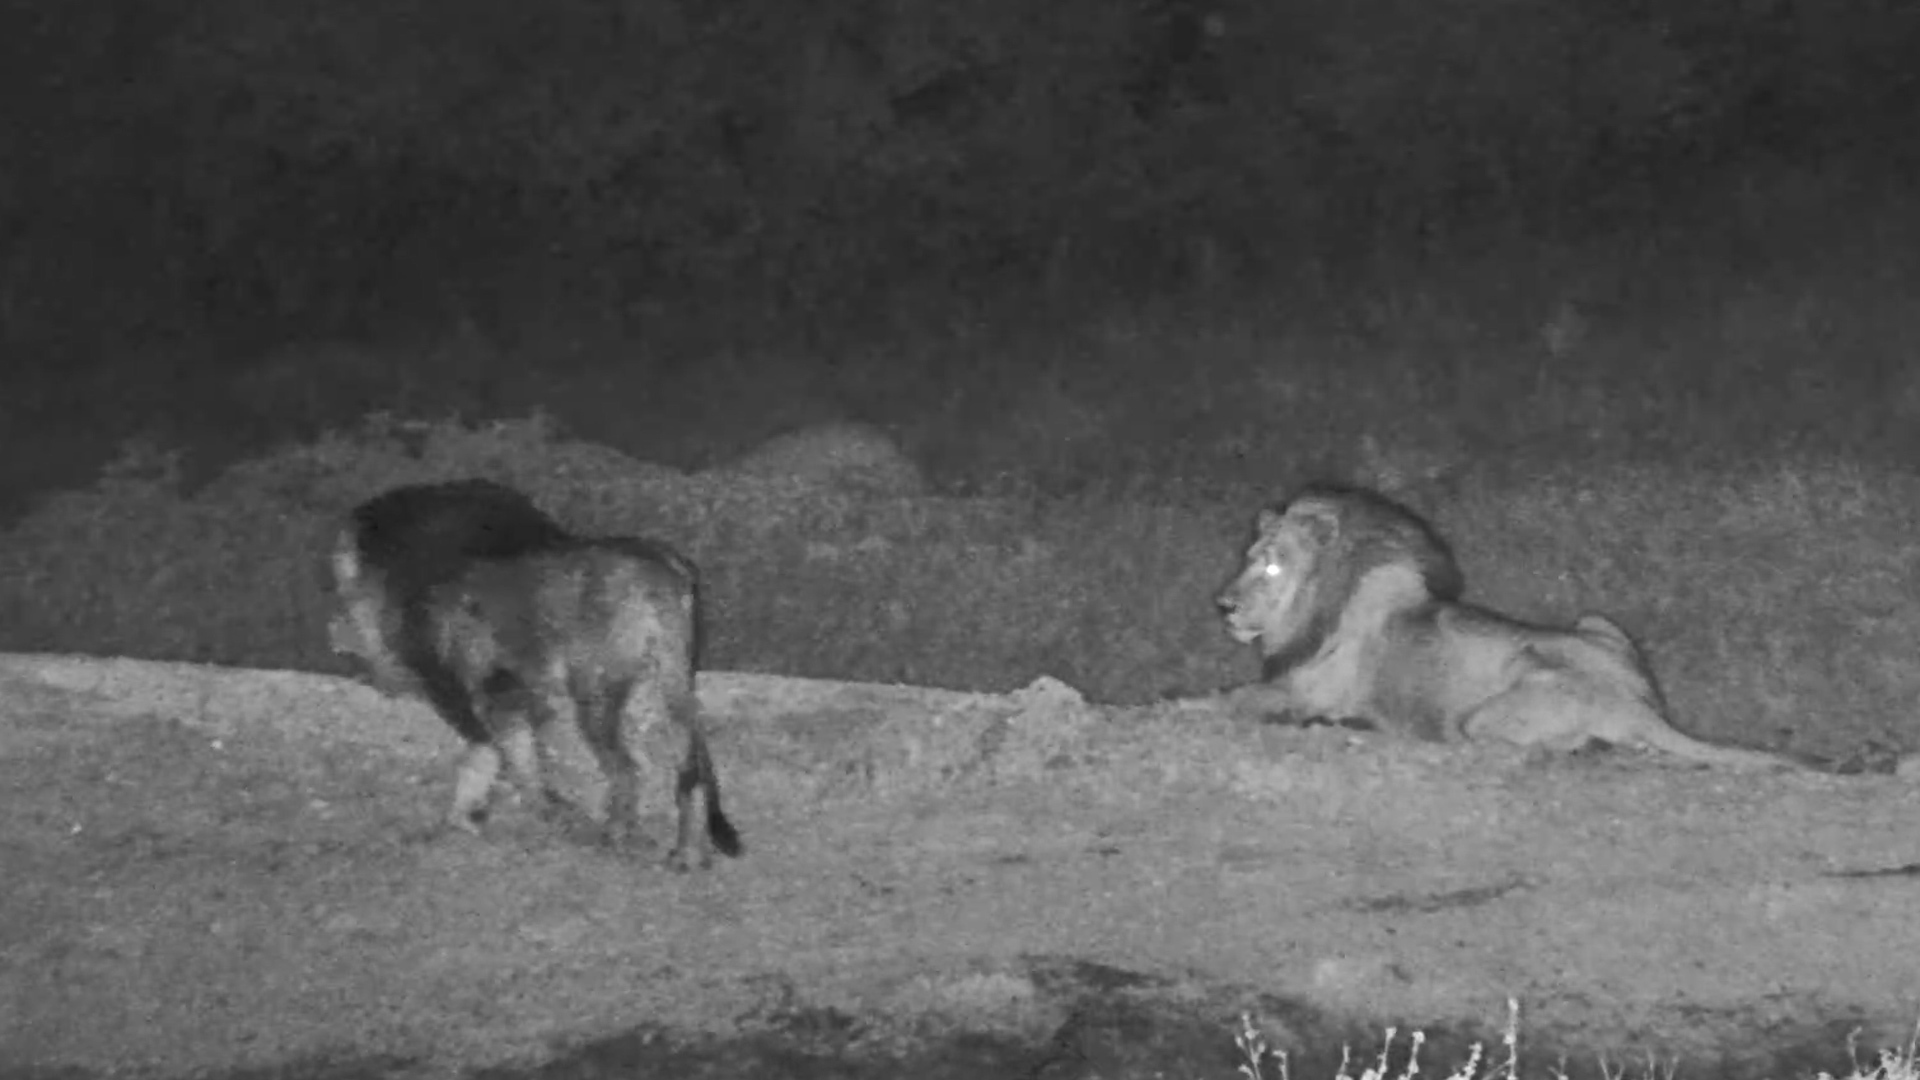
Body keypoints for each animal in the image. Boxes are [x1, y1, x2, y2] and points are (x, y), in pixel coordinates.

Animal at [1213, 484, 1809, 771]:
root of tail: (1637, 703)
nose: (1223, 605)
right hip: (1596, 619)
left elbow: (1231, 699)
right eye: (1246, 559)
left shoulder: (1310, 692)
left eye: (1272, 566)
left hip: (1486, 710)